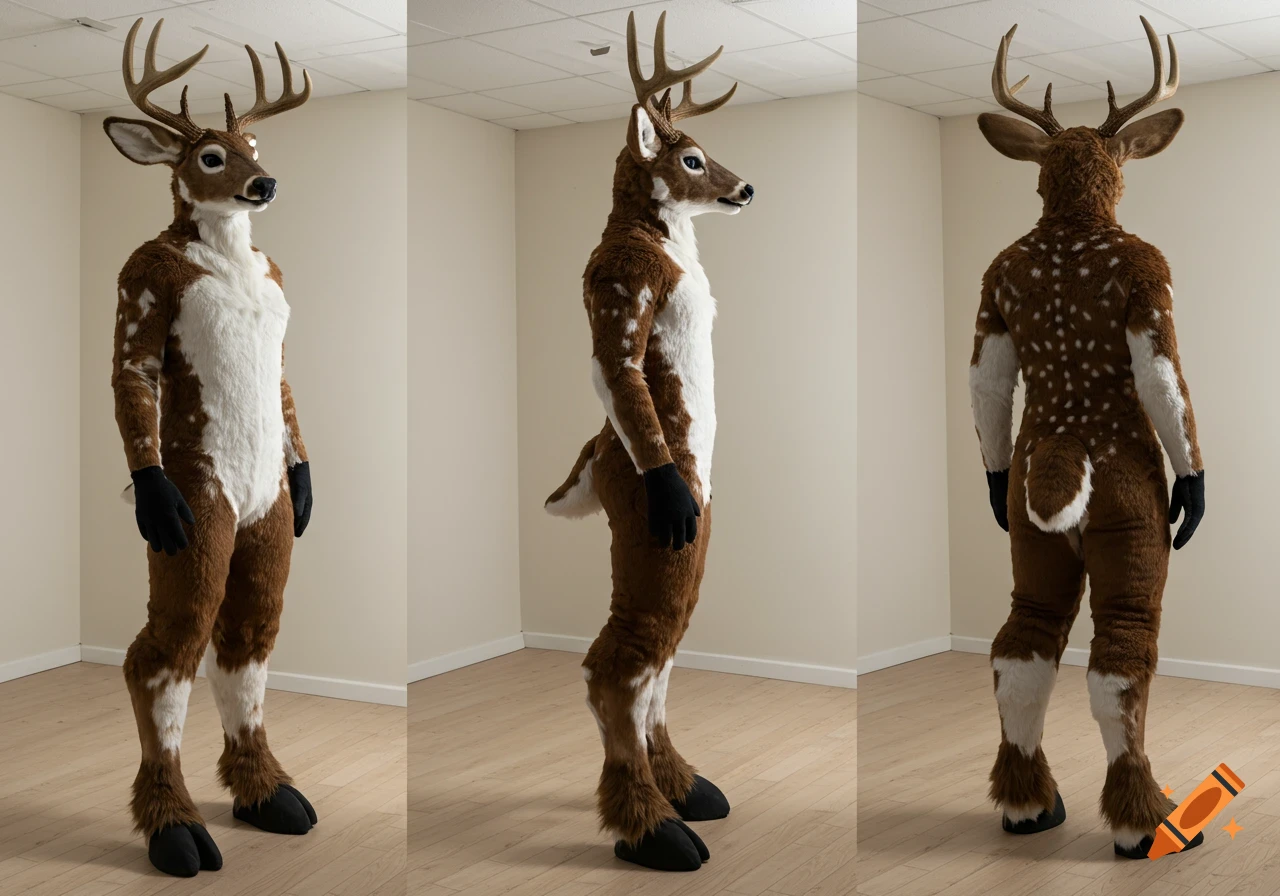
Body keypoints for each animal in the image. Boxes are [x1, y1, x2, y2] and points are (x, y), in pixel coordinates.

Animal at [970, 17, 1206, 859]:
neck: (1075, 221)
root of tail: (1069, 443)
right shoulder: (1153, 279)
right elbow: (1170, 385)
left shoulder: (986, 298)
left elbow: (986, 382)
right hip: (1130, 520)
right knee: (1121, 657)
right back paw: (1147, 821)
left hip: (1033, 540)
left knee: (1020, 646)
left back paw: (1027, 804)